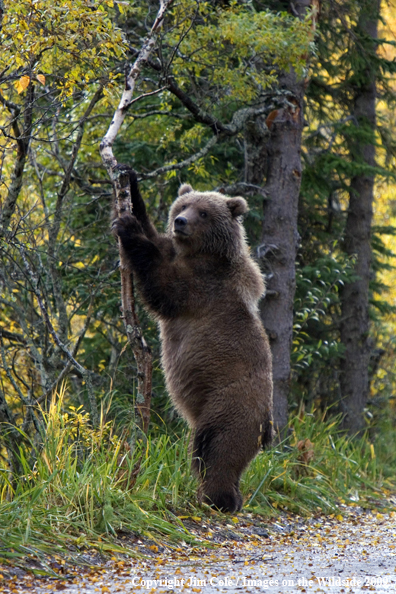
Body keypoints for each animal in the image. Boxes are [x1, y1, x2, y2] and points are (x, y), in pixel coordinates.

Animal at [111, 169, 272, 512]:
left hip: (229, 406)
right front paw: (131, 186)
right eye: (183, 204)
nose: (180, 222)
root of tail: (267, 425)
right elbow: (157, 240)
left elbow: (163, 286)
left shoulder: (203, 288)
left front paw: (127, 228)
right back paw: (229, 497)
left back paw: (217, 498)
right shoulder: (177, 252)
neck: (199, 252)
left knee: (215, 450)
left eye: (204, 212)